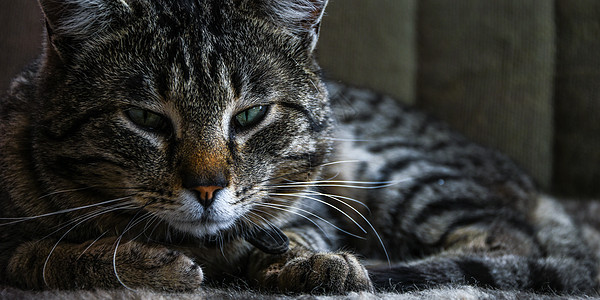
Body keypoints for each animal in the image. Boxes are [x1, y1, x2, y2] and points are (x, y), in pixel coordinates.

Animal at [0, 0, 596, 296]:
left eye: (250, 115)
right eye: (146, 118)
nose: (207, 187)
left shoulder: (311, 206)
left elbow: (296, 234)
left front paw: (312, 262)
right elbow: (44, 255)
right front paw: (145, 264)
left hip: (400, 170)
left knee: (508, 243)